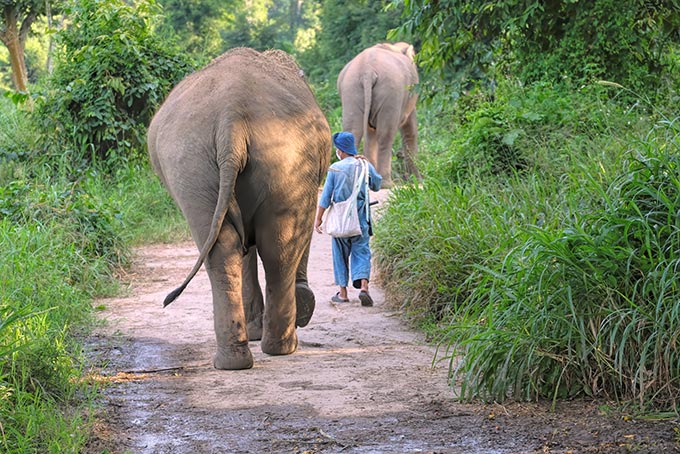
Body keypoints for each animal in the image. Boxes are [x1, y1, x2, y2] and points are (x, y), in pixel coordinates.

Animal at [147, 48, 332, 370]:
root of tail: (230, 118)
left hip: (192, 164)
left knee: (233, 248)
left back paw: (240, 359)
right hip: (266, 158)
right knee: (277, 246)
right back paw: (280, 347)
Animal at [338, 40, 422, 186]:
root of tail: (367, 71)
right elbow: (410, 130)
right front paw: (418, 181)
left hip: (350, 90)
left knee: (353, 132)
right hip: (391, 92)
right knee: (385, 135)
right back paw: (387, 184)